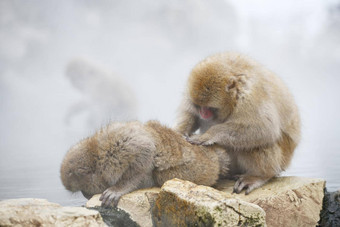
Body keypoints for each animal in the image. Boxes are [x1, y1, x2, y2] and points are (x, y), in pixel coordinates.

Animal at [175, 52, 300, 194]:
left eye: (209, 108)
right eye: (199, 106)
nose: (203, 114)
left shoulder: (250, 96)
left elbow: (264, 129)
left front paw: (208, 135)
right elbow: (189, 113)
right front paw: (179, 132)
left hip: (280, 162)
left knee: (258, 144)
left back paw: (260, 176)